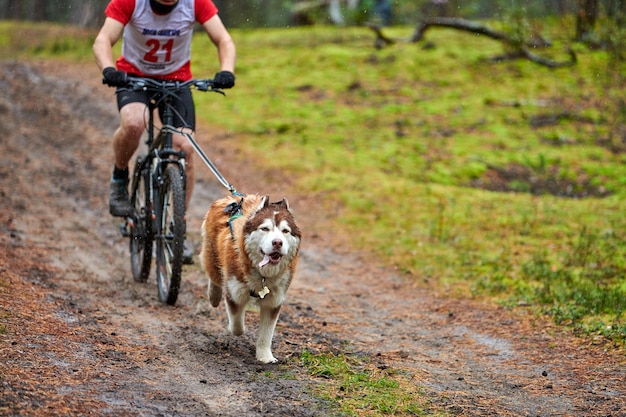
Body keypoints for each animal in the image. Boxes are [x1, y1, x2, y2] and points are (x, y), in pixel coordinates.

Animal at [199, 193, 298, 362]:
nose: (277, 242)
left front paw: (265, 357)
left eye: (285, 231)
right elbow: (237, 326)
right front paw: (237, 328)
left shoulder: (274, 301)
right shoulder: (234, 293)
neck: (263, 275)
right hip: (212, 257)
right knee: (215, 276)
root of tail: (229, 198)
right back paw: (214, 296)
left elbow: (266, 334)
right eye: (265, 228)